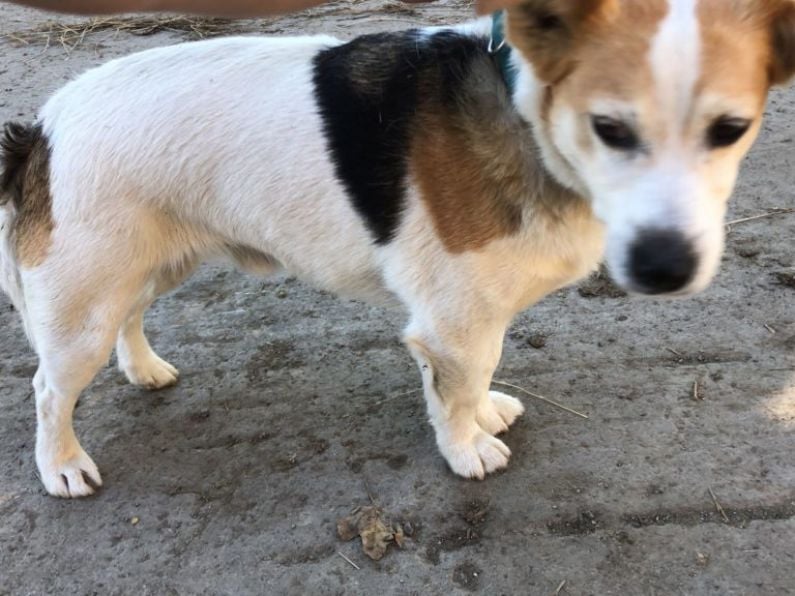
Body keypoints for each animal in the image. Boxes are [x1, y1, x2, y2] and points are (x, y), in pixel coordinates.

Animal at [1, 0, 795, 498]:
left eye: (730, 129)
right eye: (609, 127)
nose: (666, 267)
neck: (520, 108)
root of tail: (42, 127)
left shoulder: (458, 320)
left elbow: (467, 379)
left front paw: (480, 416)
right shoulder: (455, 320)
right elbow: (461, 385)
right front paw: (466, 448)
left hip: (147, 266)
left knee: (130, 316)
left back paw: (143, 368)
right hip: (82, 307)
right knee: (49, 391)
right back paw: (61, 464)